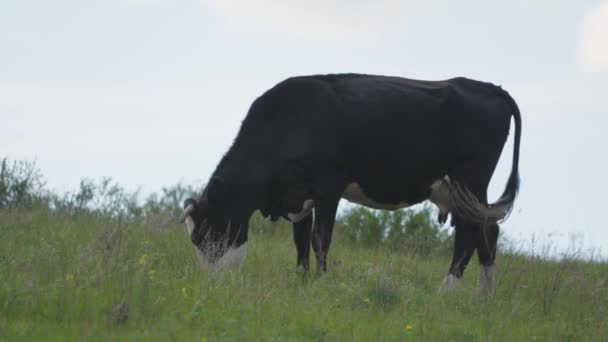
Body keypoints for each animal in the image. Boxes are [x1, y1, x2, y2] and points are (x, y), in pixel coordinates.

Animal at [178, 74, 520, 294]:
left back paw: (445, 293)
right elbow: (300, 240)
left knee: (469, 234)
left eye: (204, 236)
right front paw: (300, 282)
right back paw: (482, 298)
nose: (210, 285)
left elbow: (320, 238)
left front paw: (319, 283)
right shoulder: (299, 197)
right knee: (488, 231)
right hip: (466, 191)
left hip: (470, 180)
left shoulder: (329, 186)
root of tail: (489, 88)